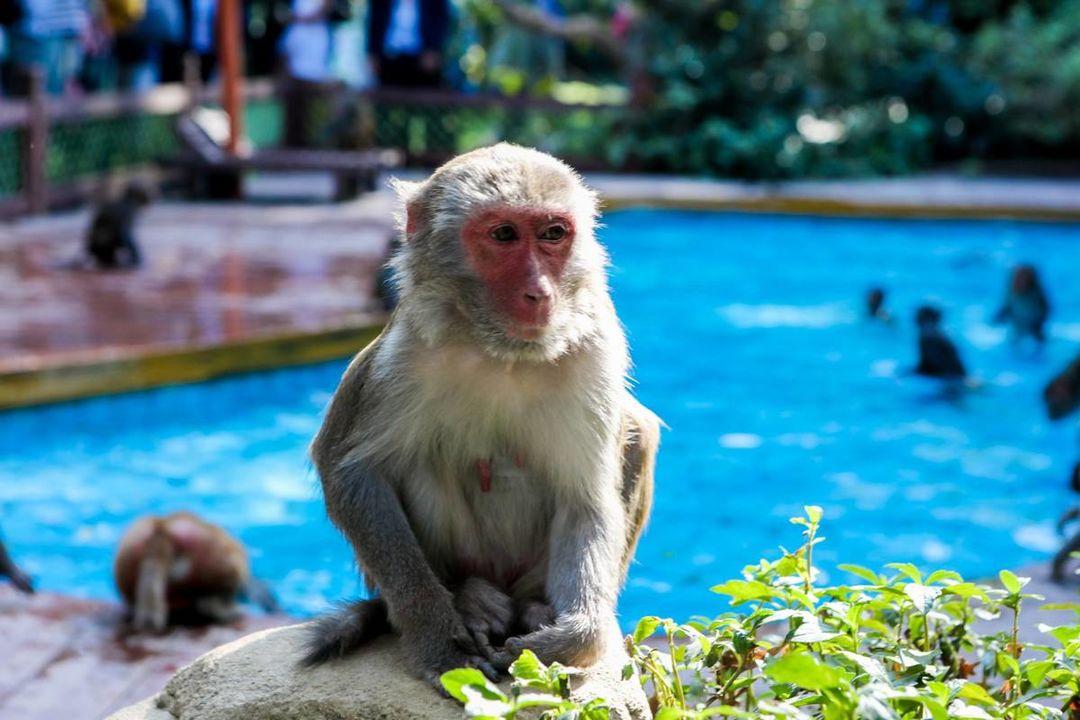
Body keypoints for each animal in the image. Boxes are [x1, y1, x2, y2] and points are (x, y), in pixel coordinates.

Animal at [300, 143, 660, 690]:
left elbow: (586, 497)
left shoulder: (596, 345)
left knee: (637, 433)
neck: (502, 350)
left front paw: (574, 637)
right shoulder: (405, 353)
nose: (539, 293)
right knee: (417, 462)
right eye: (504, 235)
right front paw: (440, 639)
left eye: (553, 234)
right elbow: (352, 471)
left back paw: (533, 608)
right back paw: (469, 598)